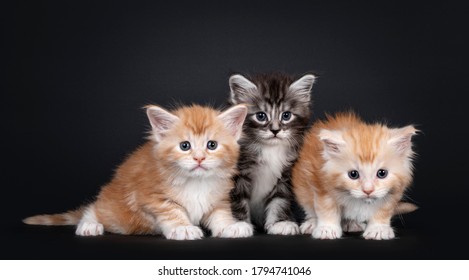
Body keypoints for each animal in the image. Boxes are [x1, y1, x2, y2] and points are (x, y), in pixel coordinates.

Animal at [23, 104, 254, 240]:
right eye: (185, 146)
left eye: (212, 145)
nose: (199, 158)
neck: (195, 182)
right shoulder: (150, 194)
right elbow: (172, 211)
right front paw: (183, 228)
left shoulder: (218, 198)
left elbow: (220, 215)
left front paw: (231, 227)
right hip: (114, 210)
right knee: (93, 209)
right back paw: (89, 225)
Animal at [229, 72, 316, 234]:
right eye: (261, 116)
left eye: (286, 115)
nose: (275, 130)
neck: (270, 149)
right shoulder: (237, 174)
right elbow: (236, 198)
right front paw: (237, 224)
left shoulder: (285, 176)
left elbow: (280, 200)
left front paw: (280, 223)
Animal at [292, 112, 416, 240]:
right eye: (353, 174)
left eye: (382, 173)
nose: (368, 190)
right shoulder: (321, 183)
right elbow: (326, 208)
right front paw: (327, 228)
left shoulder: (393, 191)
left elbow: (384, 209)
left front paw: (378, 229)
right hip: (303, 187)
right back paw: (312, 223)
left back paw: (351, 223)